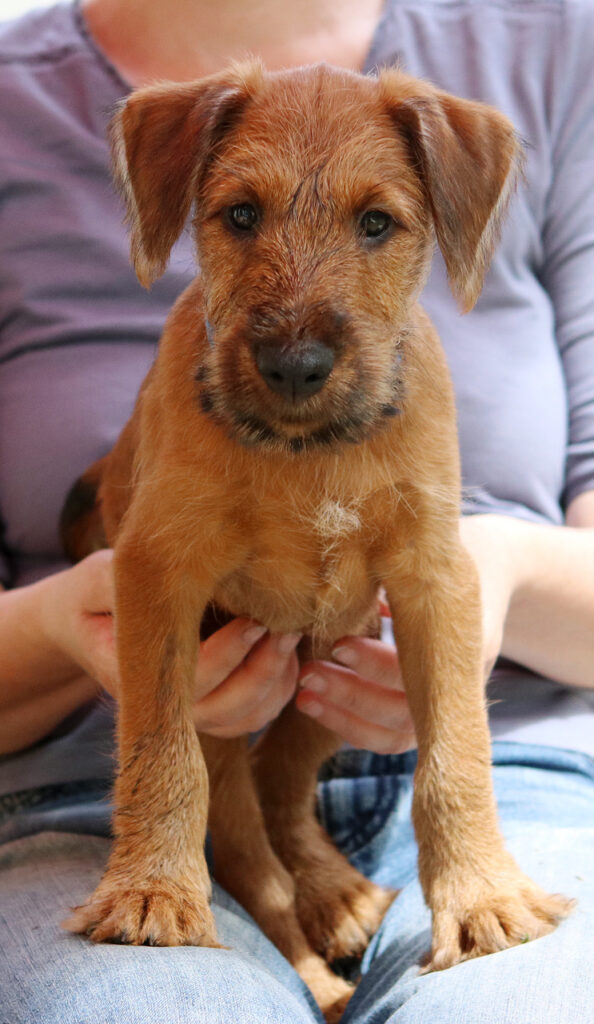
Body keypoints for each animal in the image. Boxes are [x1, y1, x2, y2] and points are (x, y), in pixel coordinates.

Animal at [60, 61, 569, 1015]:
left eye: (377, 223)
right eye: (238, 215)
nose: (294, 365)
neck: (311, 454)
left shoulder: (433, 587)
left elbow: (456, 754)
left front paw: (484, 898)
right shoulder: (158, 576)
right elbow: (160, 752)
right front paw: (151, 893)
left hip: (336, 649)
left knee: (285, 780)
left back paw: (337, 894)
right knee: (247, 835)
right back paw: (315, 966)